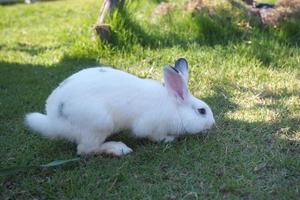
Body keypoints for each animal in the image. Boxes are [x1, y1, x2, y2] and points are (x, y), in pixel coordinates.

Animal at [24, 57, 214, 156]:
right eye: (202, 111)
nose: (213, 124)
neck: (175, 108)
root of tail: (53, 121)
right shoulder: (150, 126)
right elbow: (155, 136)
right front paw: (169, 139)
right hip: (99, 124)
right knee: (85, 150)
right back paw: (119, 148)